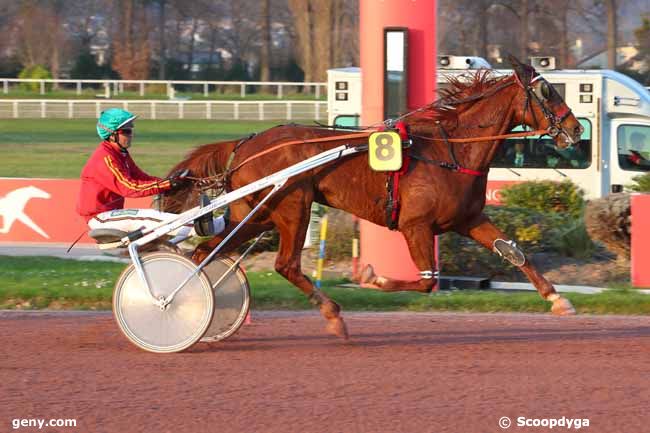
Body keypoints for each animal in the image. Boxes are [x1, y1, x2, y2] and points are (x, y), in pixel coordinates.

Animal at [162, 57, 584, 340]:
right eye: (547, 91)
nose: (576, 128)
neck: (451, 150)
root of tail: (246, 143)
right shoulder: (416, 225)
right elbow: (426, 281)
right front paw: (372, 276)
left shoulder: (468, 219)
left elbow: (515, 253)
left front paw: (557, 299)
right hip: (292, 207)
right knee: (285, 265)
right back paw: (332, 314)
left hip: (258, 213)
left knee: (208, 250)